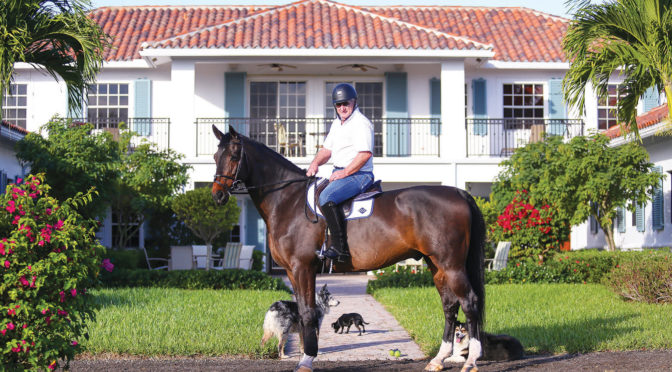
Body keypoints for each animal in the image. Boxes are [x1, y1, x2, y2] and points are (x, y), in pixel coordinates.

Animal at [213, 125, 486, 372]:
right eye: (216, 157)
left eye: (234, 156)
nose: (217, 195)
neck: (289, 201)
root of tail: (459, 193)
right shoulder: (292, 271)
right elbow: (301, 311)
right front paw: (304, 355)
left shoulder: (303, 267)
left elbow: (308, 313)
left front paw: (307, 360)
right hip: (436, 264)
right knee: (449, 306)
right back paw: (438, 360)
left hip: (451, 265)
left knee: (469, 302)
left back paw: (470, 361)